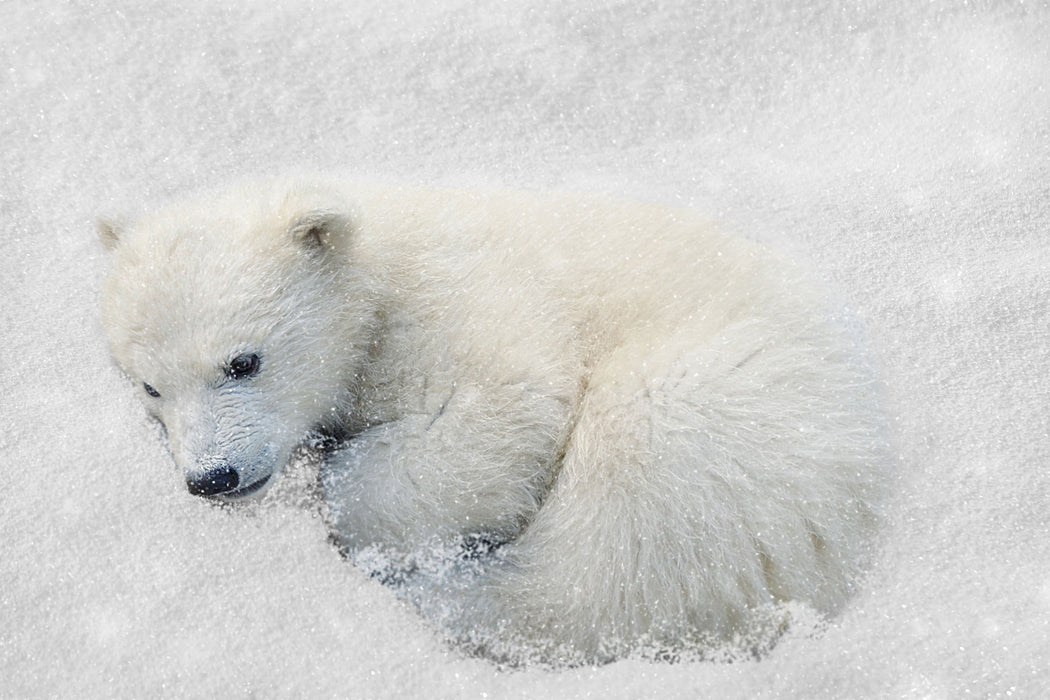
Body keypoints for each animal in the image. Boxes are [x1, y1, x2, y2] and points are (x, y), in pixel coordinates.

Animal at [98, 178, 890, 667]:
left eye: (243, 361)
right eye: (151, 385)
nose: (212, 477)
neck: (379, 276)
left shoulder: (459, 308)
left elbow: (503, 411)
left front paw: (343, 498)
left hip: (719, 414)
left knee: (613, 554)